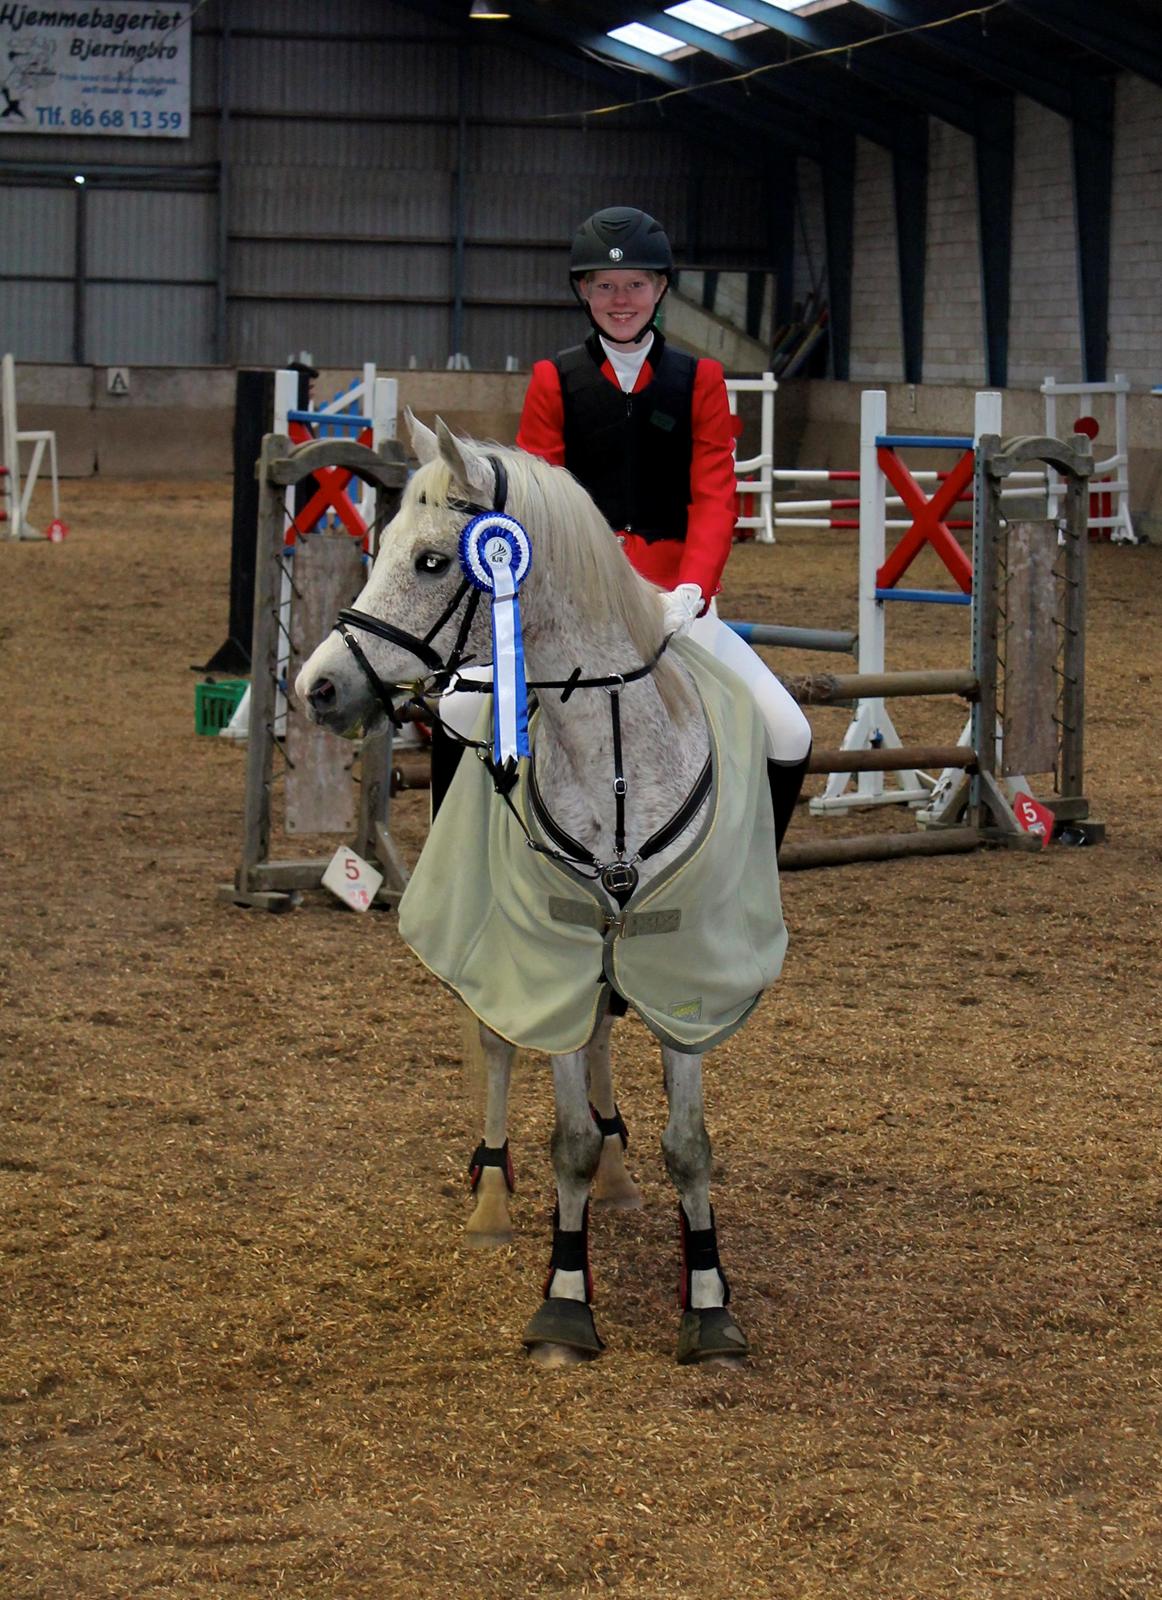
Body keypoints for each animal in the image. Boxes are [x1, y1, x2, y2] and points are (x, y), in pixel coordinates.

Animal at [296, 412, 787, 1363]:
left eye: (431, 562)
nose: (318, 688)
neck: (613, 753)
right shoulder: (549, 945)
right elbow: (565, 1141)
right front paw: (565, 1303)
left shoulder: (686, 965)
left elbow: (689, 1144)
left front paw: (709, 1300)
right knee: (496, 1045)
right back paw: (494, 1196)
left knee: (599, 1037)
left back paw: (621, 1175)